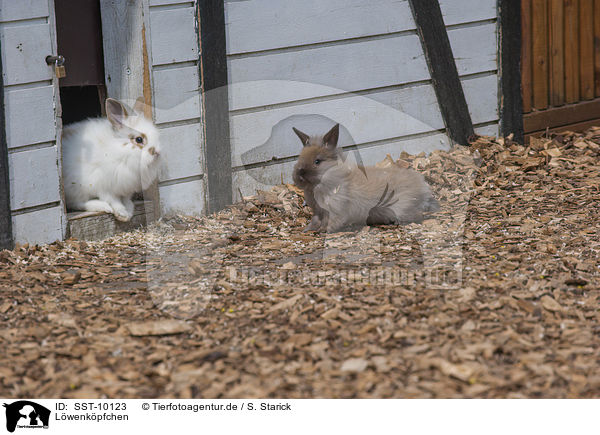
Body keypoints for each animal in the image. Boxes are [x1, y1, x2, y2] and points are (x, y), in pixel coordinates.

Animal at [292, 124, 438, 233]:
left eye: (317, 161)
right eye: (300, 158)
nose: (299, 175)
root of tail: (423, 189)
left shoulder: (335, 210)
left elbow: (332, 222)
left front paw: (323, 231)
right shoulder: (317, 211)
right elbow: (315, 220)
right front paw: (307, 230)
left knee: (417, 215)